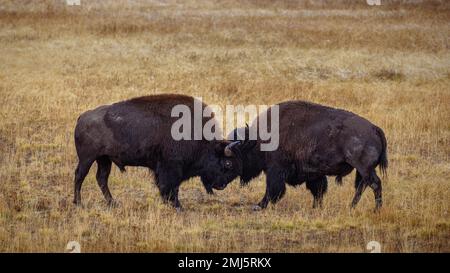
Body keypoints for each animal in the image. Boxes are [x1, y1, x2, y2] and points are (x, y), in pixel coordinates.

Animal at [75, 94, 248, 210]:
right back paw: (78, 203)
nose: (221, 185)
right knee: (80, 176)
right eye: (227, 163)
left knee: (102, 179)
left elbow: (167, 187)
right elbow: (171, 186)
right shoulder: (172, 168)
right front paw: (178, 206)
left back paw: (113, 203)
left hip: (104, 159)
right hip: (87, 158)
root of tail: (82, 117)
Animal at [229, 100, 386, 210]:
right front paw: (316, 207)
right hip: (364, 170)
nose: (238, 175)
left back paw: (375, 210)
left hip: (364, 168)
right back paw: (352, 207)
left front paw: (259, 205)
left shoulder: (276, 170)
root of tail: (374, 128)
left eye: (240, 154)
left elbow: (272, 189)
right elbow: (318, 190)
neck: (258, 140)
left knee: (374, 184)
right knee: (363, 186)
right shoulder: (314, 174)